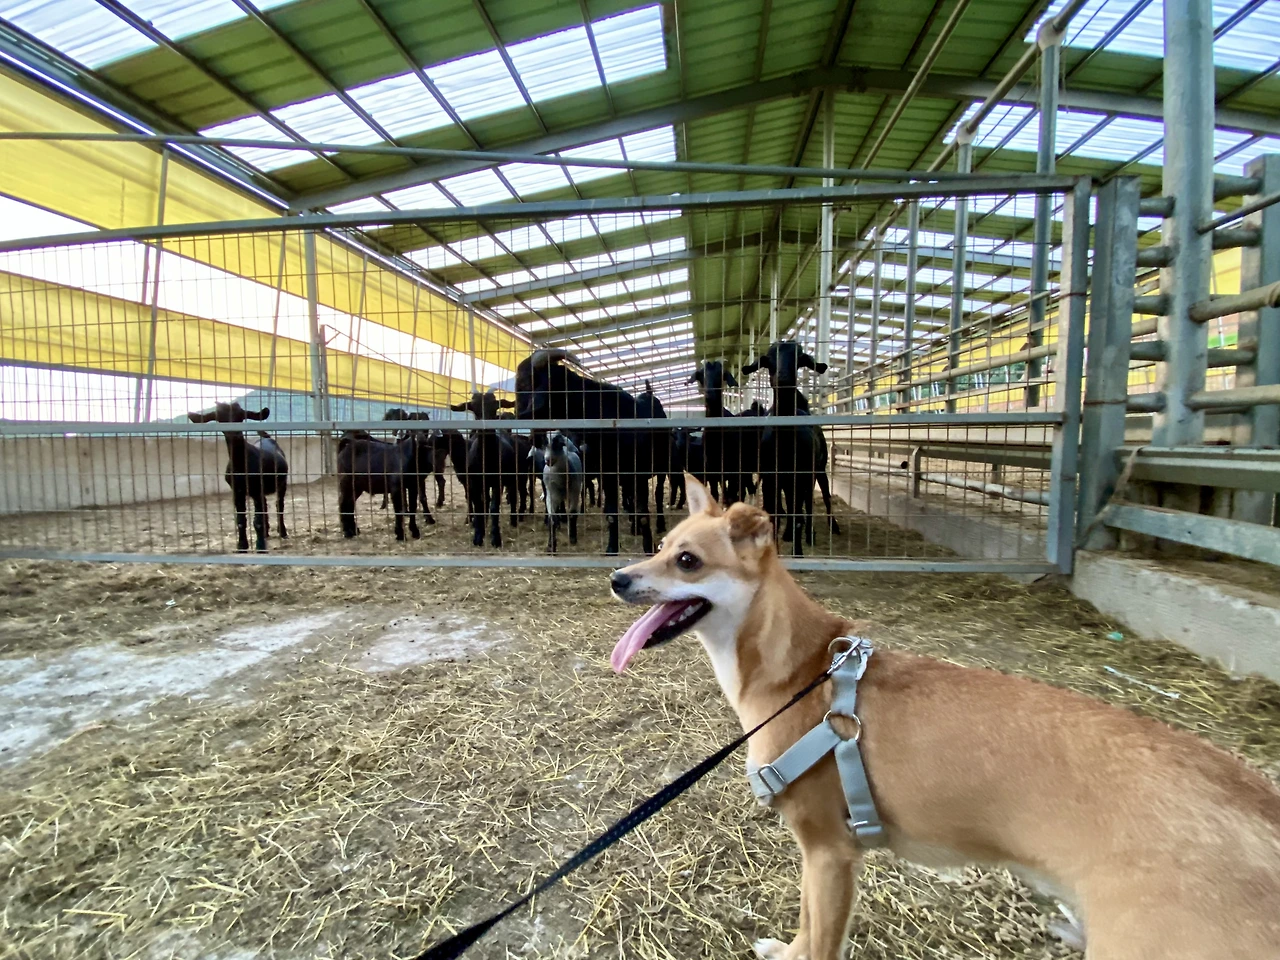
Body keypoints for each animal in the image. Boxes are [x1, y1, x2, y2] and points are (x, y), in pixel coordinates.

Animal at [608, 474, 1280, 960]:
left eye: (687, 561)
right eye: (660, 546)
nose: (616, 577)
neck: (802, 672)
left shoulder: (829, 853)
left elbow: (822, 940)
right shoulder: (817, 858)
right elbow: (805, 926)